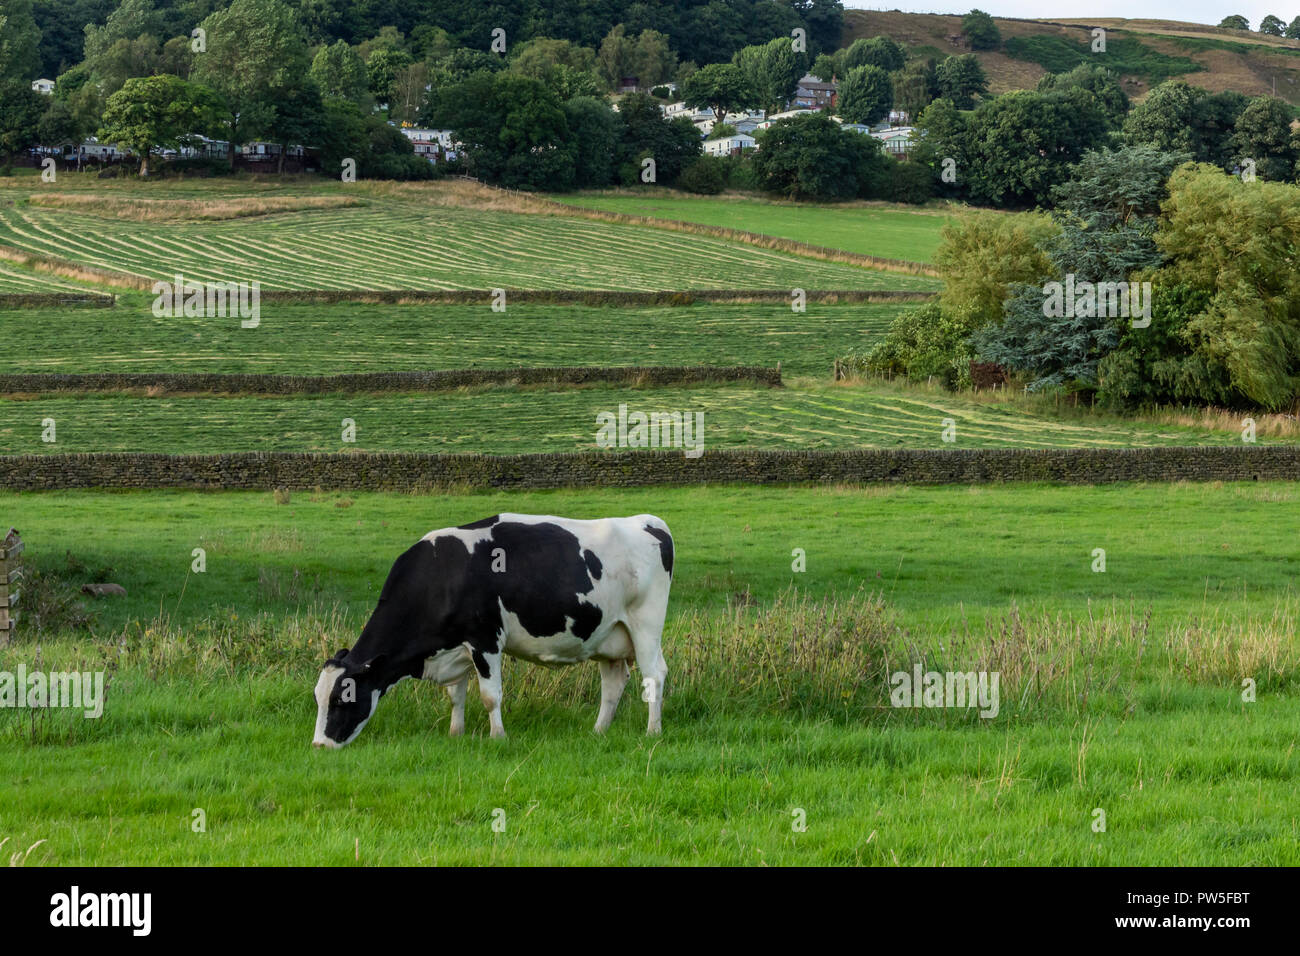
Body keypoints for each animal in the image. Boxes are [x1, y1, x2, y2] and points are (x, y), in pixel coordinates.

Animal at [312, 515, 670, 749]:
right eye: (318, 698)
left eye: (343, 698)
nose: (319, 745)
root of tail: (647, 521)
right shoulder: (455, 648)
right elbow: (455, 695)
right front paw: (455, 733)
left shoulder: (485, 640)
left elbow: (489, 695)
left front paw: (498, 737)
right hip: (607, 635)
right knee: (613, 683)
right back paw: (598, 731)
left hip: (646, 624)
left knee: (654, 675)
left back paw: (653, 731)